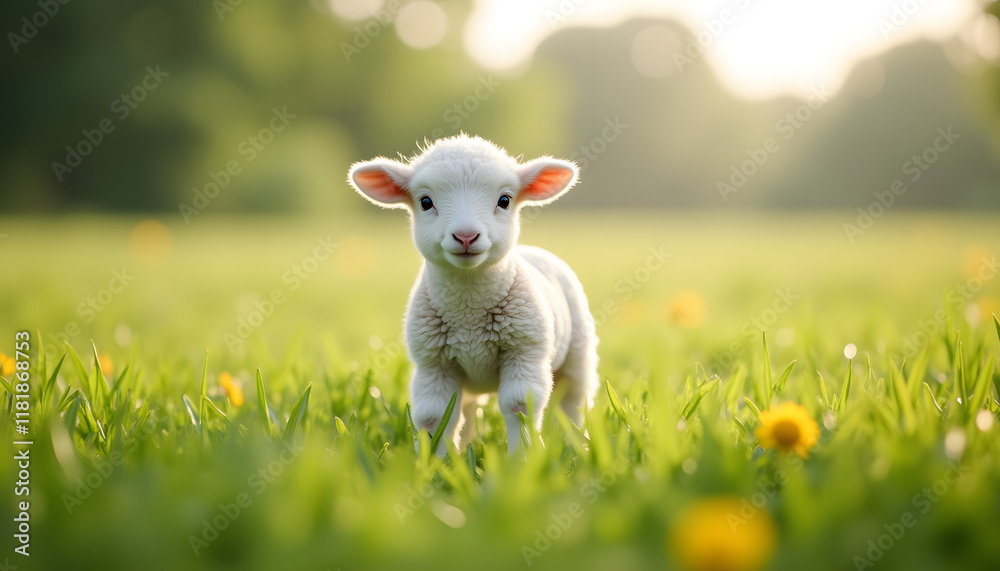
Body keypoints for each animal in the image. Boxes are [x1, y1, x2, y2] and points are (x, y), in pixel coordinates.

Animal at [347, 134, 599, 456]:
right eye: (425, 202)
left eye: (504, 200)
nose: (466, 236)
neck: (468, 312)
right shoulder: (434, 364)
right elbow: (435, 416)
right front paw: (434, 462)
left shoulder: (525, 351)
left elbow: (520, 406)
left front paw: (522, 458)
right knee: (465, 411)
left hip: (578, 353)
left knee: (573, 403)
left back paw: (577, 443)